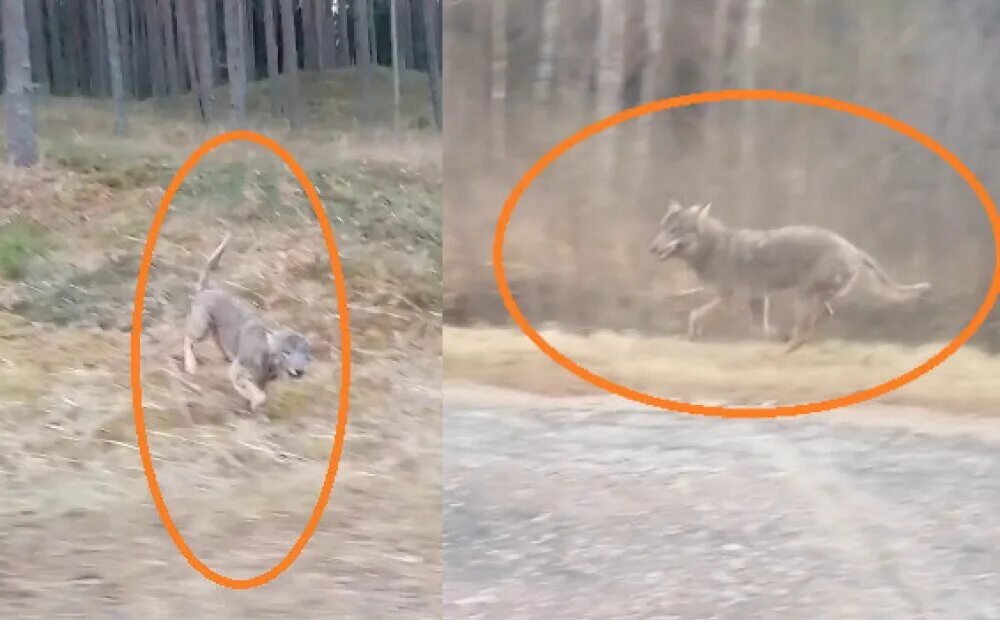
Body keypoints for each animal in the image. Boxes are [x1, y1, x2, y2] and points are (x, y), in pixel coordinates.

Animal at [182, 235, 310, 414]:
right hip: (202, 328)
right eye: (286, 352)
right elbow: (258, 395)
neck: (269, 362)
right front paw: (254, 404)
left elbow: (261, 393)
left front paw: (254, 407)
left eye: (304, 354)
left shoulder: (262, 380)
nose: (299, 371)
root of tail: (207, 289)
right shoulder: (239, 372)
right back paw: (191, 365)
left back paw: (226, 356)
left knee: (218, 341)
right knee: (188, 338)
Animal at [648, 200, 928, 354]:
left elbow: (696, 312)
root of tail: (853, 248)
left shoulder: (732, 298)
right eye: (662, 228)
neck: (712, 248)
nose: (652, 248)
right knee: (817, 321)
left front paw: (693, 333)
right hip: (811, 297)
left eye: (675, 230)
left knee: (805, 329)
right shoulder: (756, 298)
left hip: (803, 296)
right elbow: (758, 326)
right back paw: (789, 345)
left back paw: (785, 349)